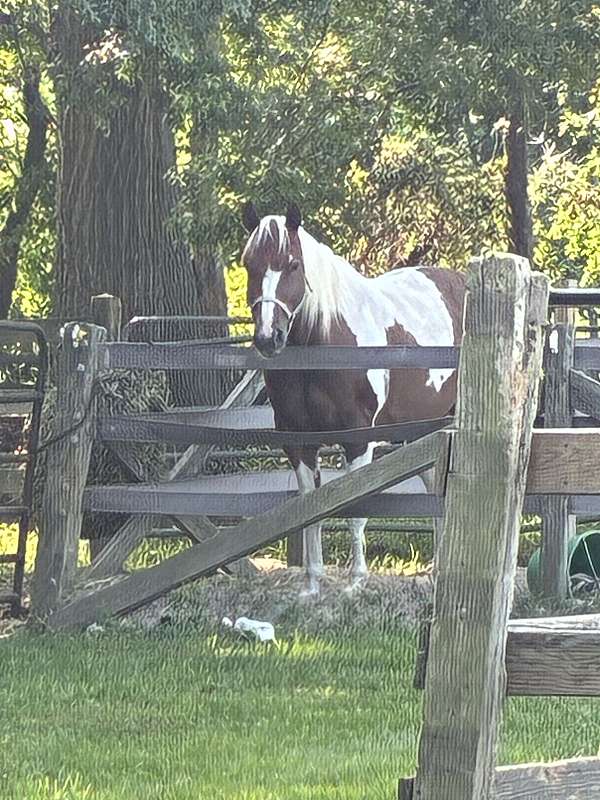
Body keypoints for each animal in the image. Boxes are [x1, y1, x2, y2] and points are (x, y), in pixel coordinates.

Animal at [241, 202, 465, 595]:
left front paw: (356, 581)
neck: (327, 344)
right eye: (248, 264)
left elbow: (356, 511)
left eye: (293, 264)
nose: (269, 337)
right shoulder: (298, 442)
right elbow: (308, 510)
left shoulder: (358, 440)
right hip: (424, 431)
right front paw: (313, 583)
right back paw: (438, 569)